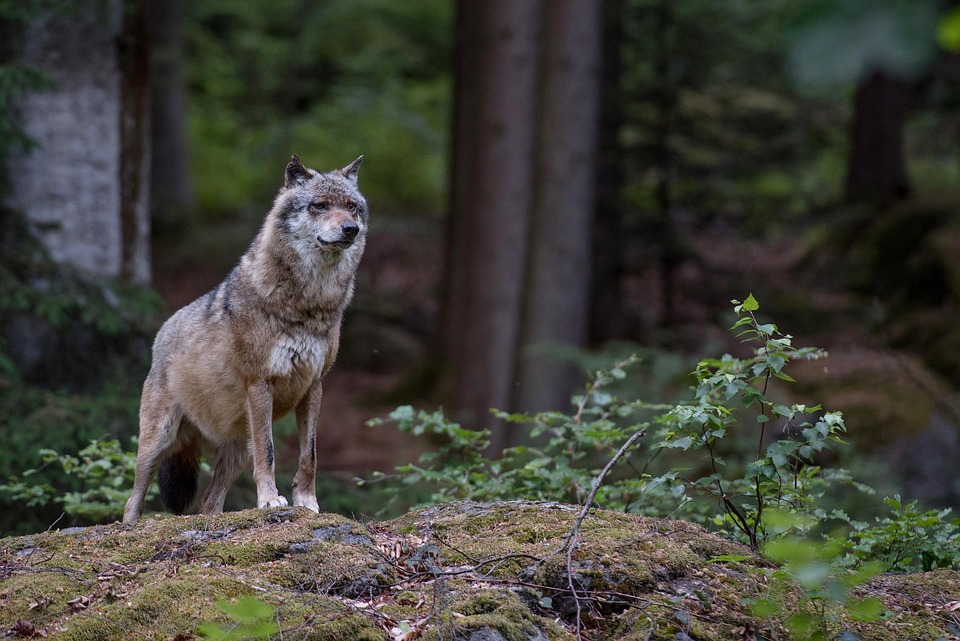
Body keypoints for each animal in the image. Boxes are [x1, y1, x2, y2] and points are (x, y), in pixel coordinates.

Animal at [122, 155, 367, 525]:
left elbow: (309, 455)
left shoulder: (314, 386)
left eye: (351, 207)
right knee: (132, 499)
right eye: (320, 205)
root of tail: (160, 333)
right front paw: (270, 500)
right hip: (158, 441)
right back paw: (130, 526)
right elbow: (268, 453)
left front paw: (307, 502)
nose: (350, 229)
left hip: (234, 451)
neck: (309, 305)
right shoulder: (260, 384)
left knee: (209, 502)